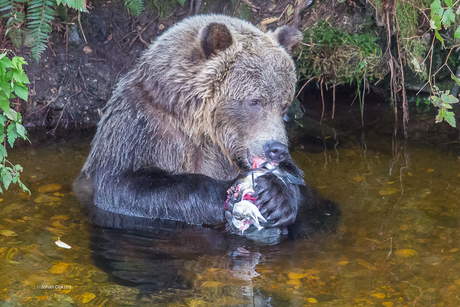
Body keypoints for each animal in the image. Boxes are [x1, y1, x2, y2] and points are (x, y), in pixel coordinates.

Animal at [76, 13, 328, 231]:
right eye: (255, 101)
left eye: (284, 105)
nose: (277, 148)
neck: (196, 124)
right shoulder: (139, 128)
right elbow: (124, 185)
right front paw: (225, 192)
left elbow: (301, 188)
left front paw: (276, 196)